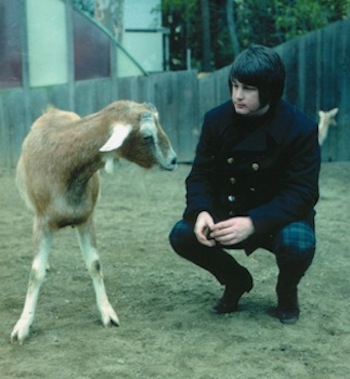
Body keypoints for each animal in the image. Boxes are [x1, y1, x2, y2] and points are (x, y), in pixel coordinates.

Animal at [11, 100, 178, 344]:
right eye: (147, 135)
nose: (174, 160)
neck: (64, 165)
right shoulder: (42, 223)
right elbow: (36, 273)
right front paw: (23, 325)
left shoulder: (86, 219)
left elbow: (95, 264)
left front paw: (107, 313)